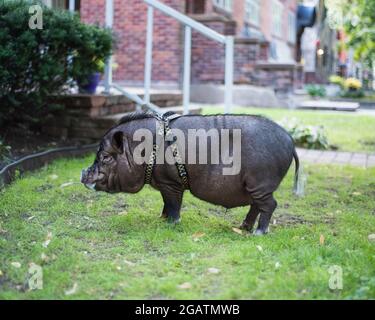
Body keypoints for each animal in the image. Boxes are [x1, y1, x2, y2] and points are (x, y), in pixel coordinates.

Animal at [81, 112, 300, 235]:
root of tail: (291, 142)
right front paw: (161, 219)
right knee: (257, 205)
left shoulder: (171, 183)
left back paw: (259, 233)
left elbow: (173, 203)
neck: (145, 150)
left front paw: (172, 223)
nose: (83, 174)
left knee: (270, 204)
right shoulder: (164, 183)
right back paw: (244, 227)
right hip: (255, 186)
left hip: (261, 181)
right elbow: (165, 203)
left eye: (105, 157)